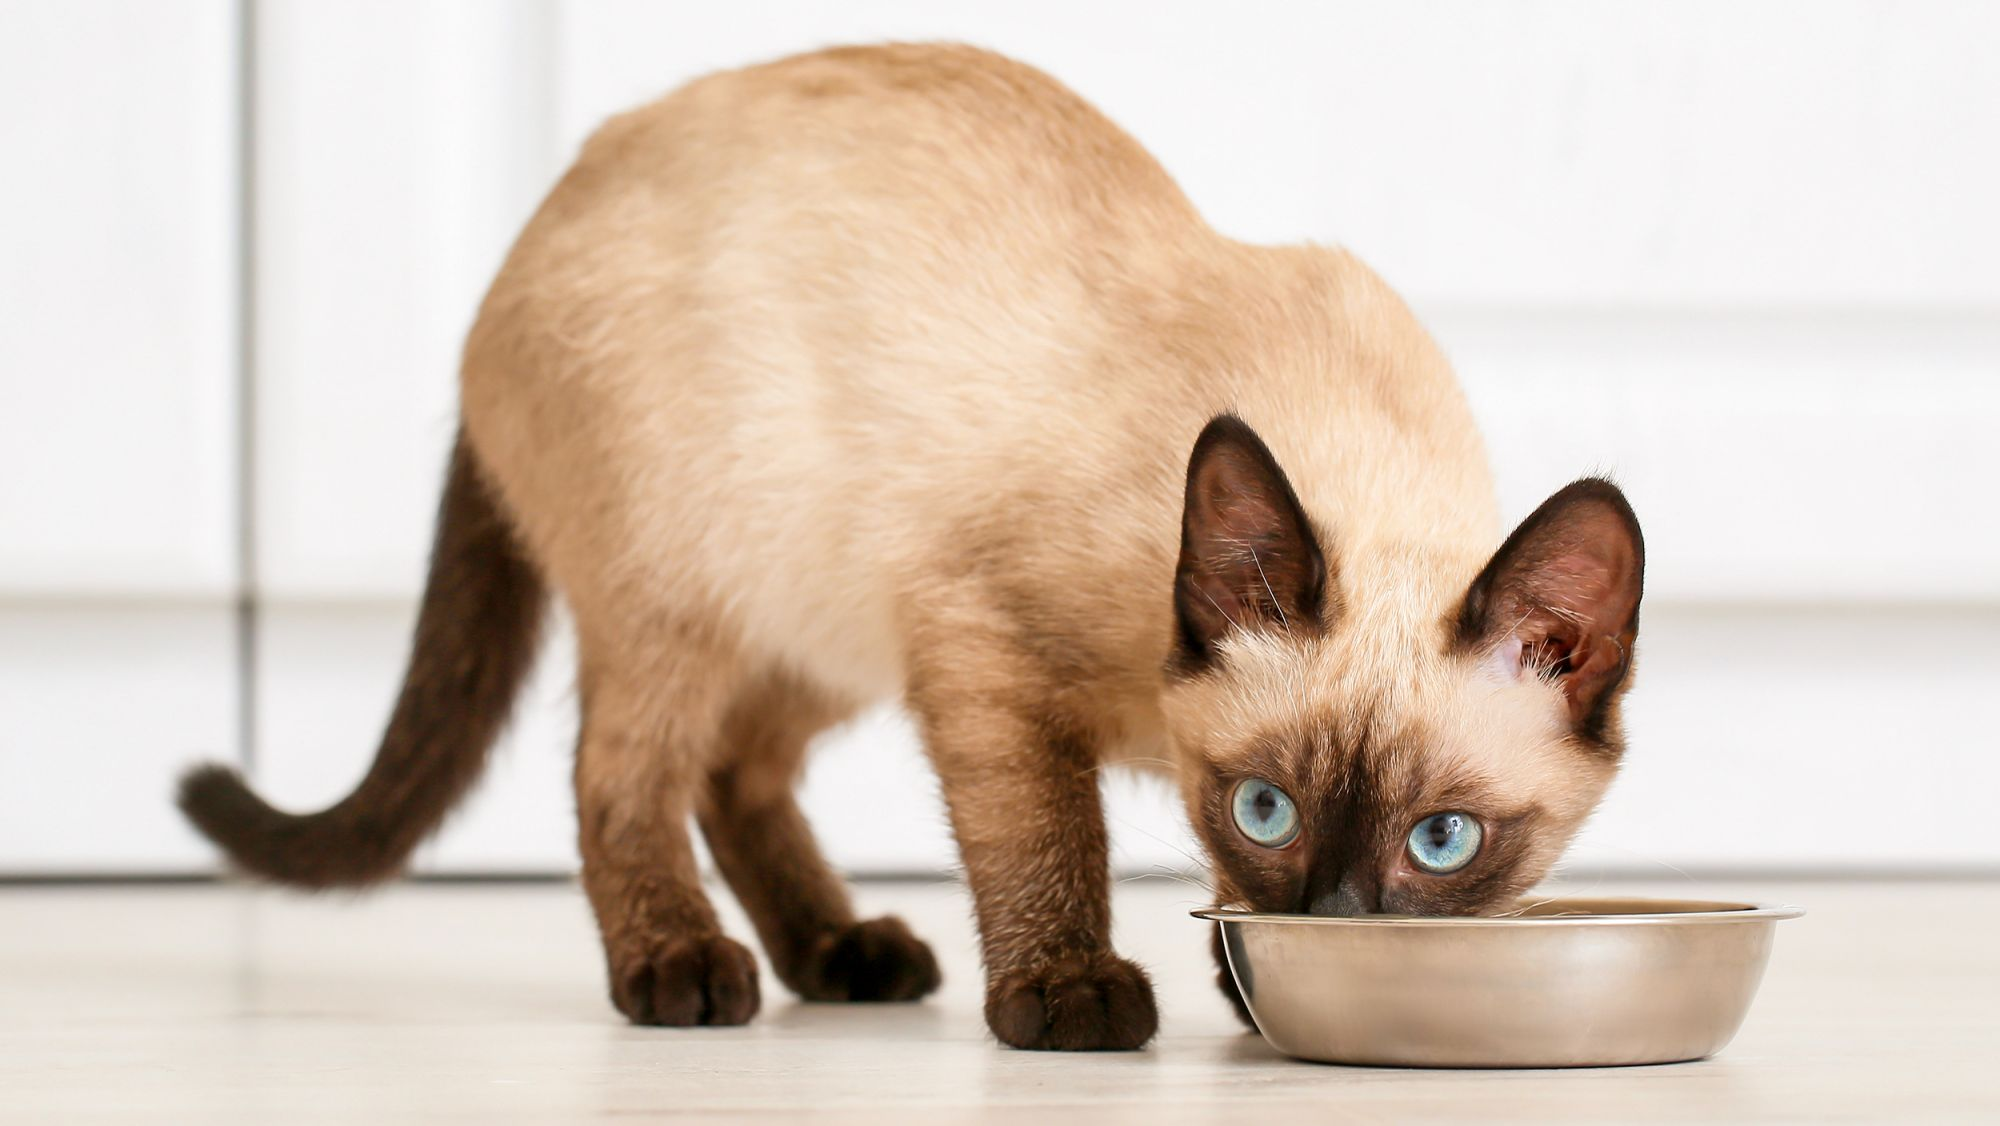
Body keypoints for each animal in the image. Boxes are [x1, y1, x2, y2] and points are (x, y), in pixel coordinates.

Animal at [176, 41, 1640, 1048]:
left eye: (1442, 841)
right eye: (1267, 807)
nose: (1334, 923)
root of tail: (541, 218)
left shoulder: (972, 661)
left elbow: (1201, 890)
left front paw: (1248, 987)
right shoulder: (983, 657)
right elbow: (1045, 841)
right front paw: (1069, 992)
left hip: (817, 624)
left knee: (736, 774)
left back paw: (841, 954)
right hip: (690, 594)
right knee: (622, 776)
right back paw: (682, 969)